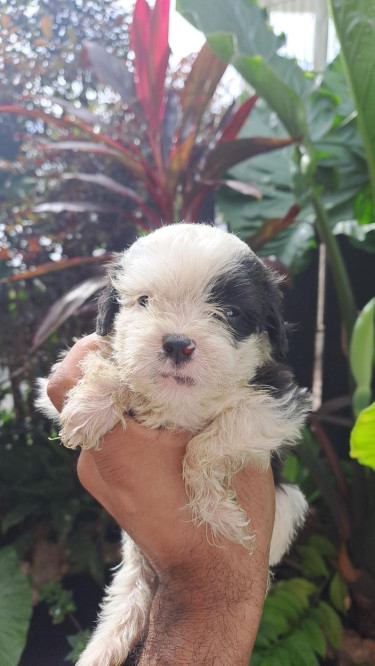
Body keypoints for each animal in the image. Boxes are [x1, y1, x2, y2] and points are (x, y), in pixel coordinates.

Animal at [36, 223, 310, 664]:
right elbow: (109, 362)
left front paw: (219, 514)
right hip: (133, 569)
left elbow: (207, 444)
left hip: (290, 502)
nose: (178, 343)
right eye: (144, 301)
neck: (179, 402)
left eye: (229, 313)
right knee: (126, 606)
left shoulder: (280, 402)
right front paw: (91, 405)